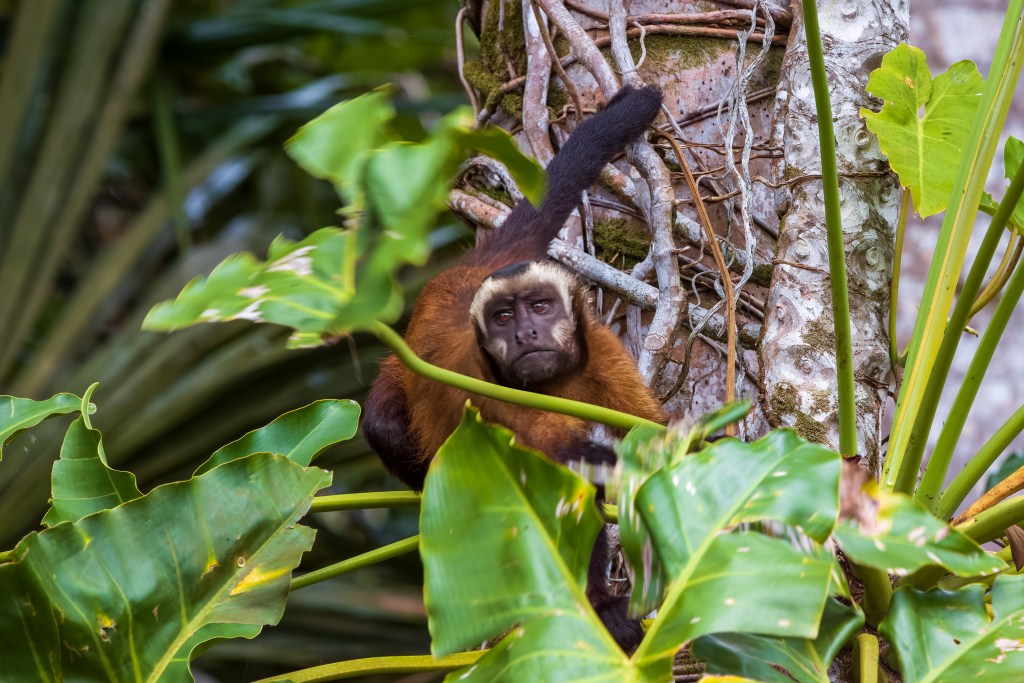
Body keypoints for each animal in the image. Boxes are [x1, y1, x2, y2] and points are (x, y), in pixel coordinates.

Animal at [362, 85, 666, 652]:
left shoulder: (605, 354)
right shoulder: (474, 373)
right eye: (504, 317)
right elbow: (549, 463)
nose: (525, 334)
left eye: (541, 307)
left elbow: (651, 435)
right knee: (387, 425)